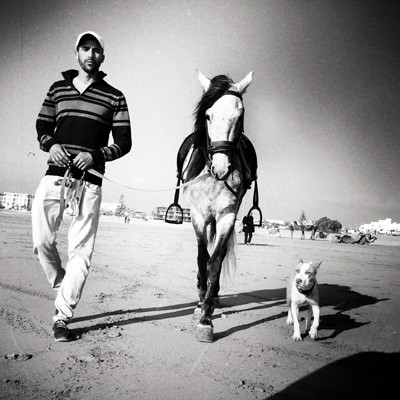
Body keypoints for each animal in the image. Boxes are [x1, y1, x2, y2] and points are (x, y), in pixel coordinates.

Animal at [182, 70, 253, 342]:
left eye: (240, 116)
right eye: (207, 115)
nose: (222, 168)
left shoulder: (227, 216)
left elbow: (214, 262)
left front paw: (206, 318)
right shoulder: (198, 215)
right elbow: (202, 258)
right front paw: (200, 304)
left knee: (219, 257)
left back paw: (212, 300)